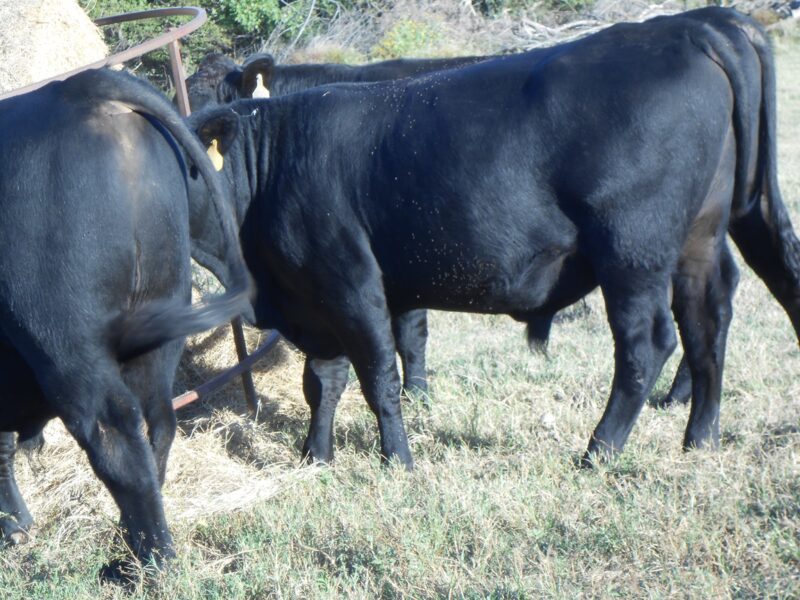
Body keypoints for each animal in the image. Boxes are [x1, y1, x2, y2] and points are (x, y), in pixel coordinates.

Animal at [0, 67, 251, 579]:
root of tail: (81, 88)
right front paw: (16, 524)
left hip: (66, 346)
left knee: (114, 437)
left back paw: (151, 565)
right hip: (161, 315)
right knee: (159, 424)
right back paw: (129, 549)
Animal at [188, 7, 800, 470]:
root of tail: (688, 27)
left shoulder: (354, 282)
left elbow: (384, 367)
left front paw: (398, 456)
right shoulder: (316, 294)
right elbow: (323, 378)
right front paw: (315, 456)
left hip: (633, 249)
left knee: (647, 342)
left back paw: (599, 451)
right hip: (703, 235)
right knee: (710, 319)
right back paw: (699, 437)